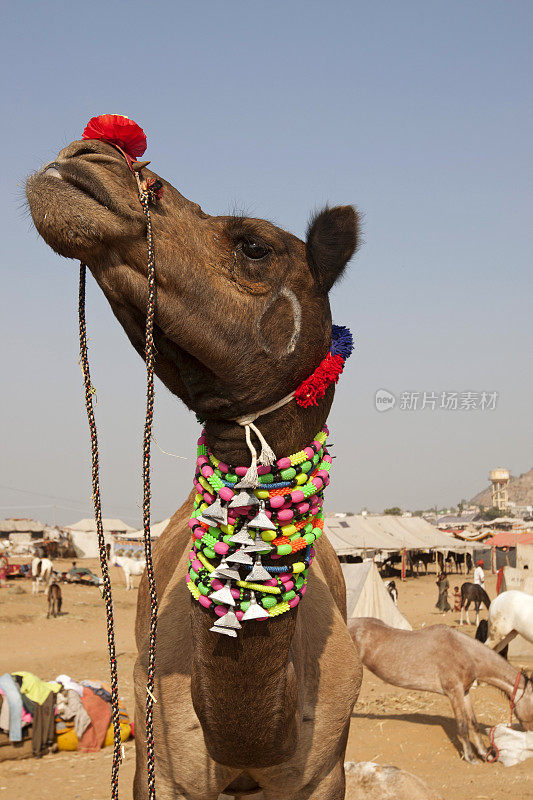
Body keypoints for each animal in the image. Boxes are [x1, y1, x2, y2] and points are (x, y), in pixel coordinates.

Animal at [348, 620, 532, 764]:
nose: (531, 734)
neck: (464, 652)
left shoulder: (464, 692)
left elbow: (473, 723)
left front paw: (484, 753)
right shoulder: (454, 693)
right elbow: (463, 726)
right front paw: (470, 757)